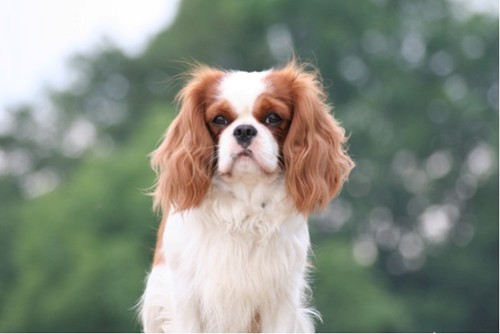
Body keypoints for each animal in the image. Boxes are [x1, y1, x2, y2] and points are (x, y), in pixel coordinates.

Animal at [139, 60, 354, 332]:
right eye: (219, 119)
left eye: (273, 118)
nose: (243, 130)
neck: (245, 200)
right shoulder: (184, 295)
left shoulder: (281, 297)